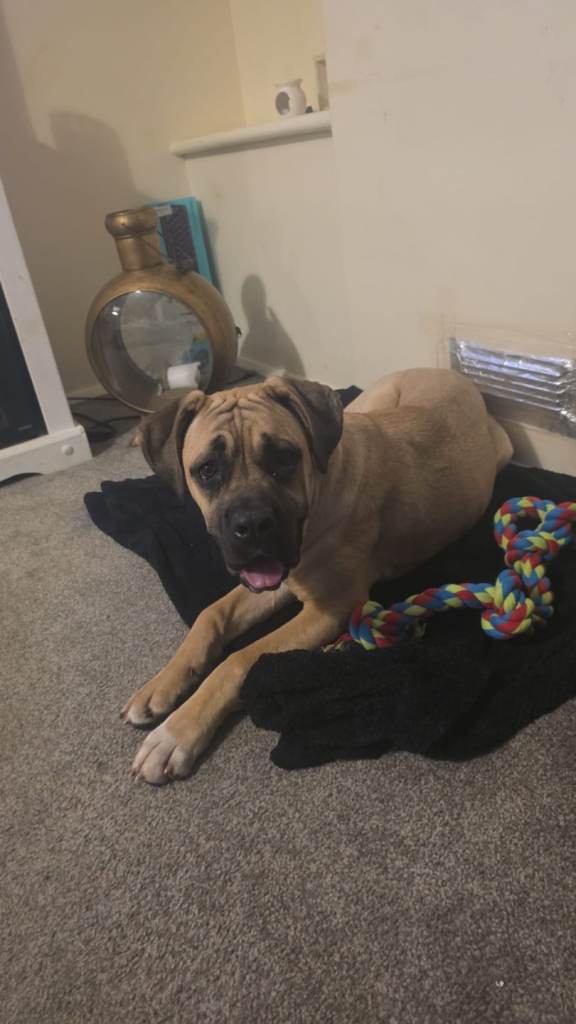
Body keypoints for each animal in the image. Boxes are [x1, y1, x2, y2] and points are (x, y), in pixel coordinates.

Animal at [122, 368, 512, 784]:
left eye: (284, 458)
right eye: (207, 470)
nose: (252, 525)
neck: (321, 488)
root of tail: (452, 374)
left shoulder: (327, 609)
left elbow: (239, 660)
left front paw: (175, 733)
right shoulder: (274, 580)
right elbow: (210, 614)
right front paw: (159, 686)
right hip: (367, 403)